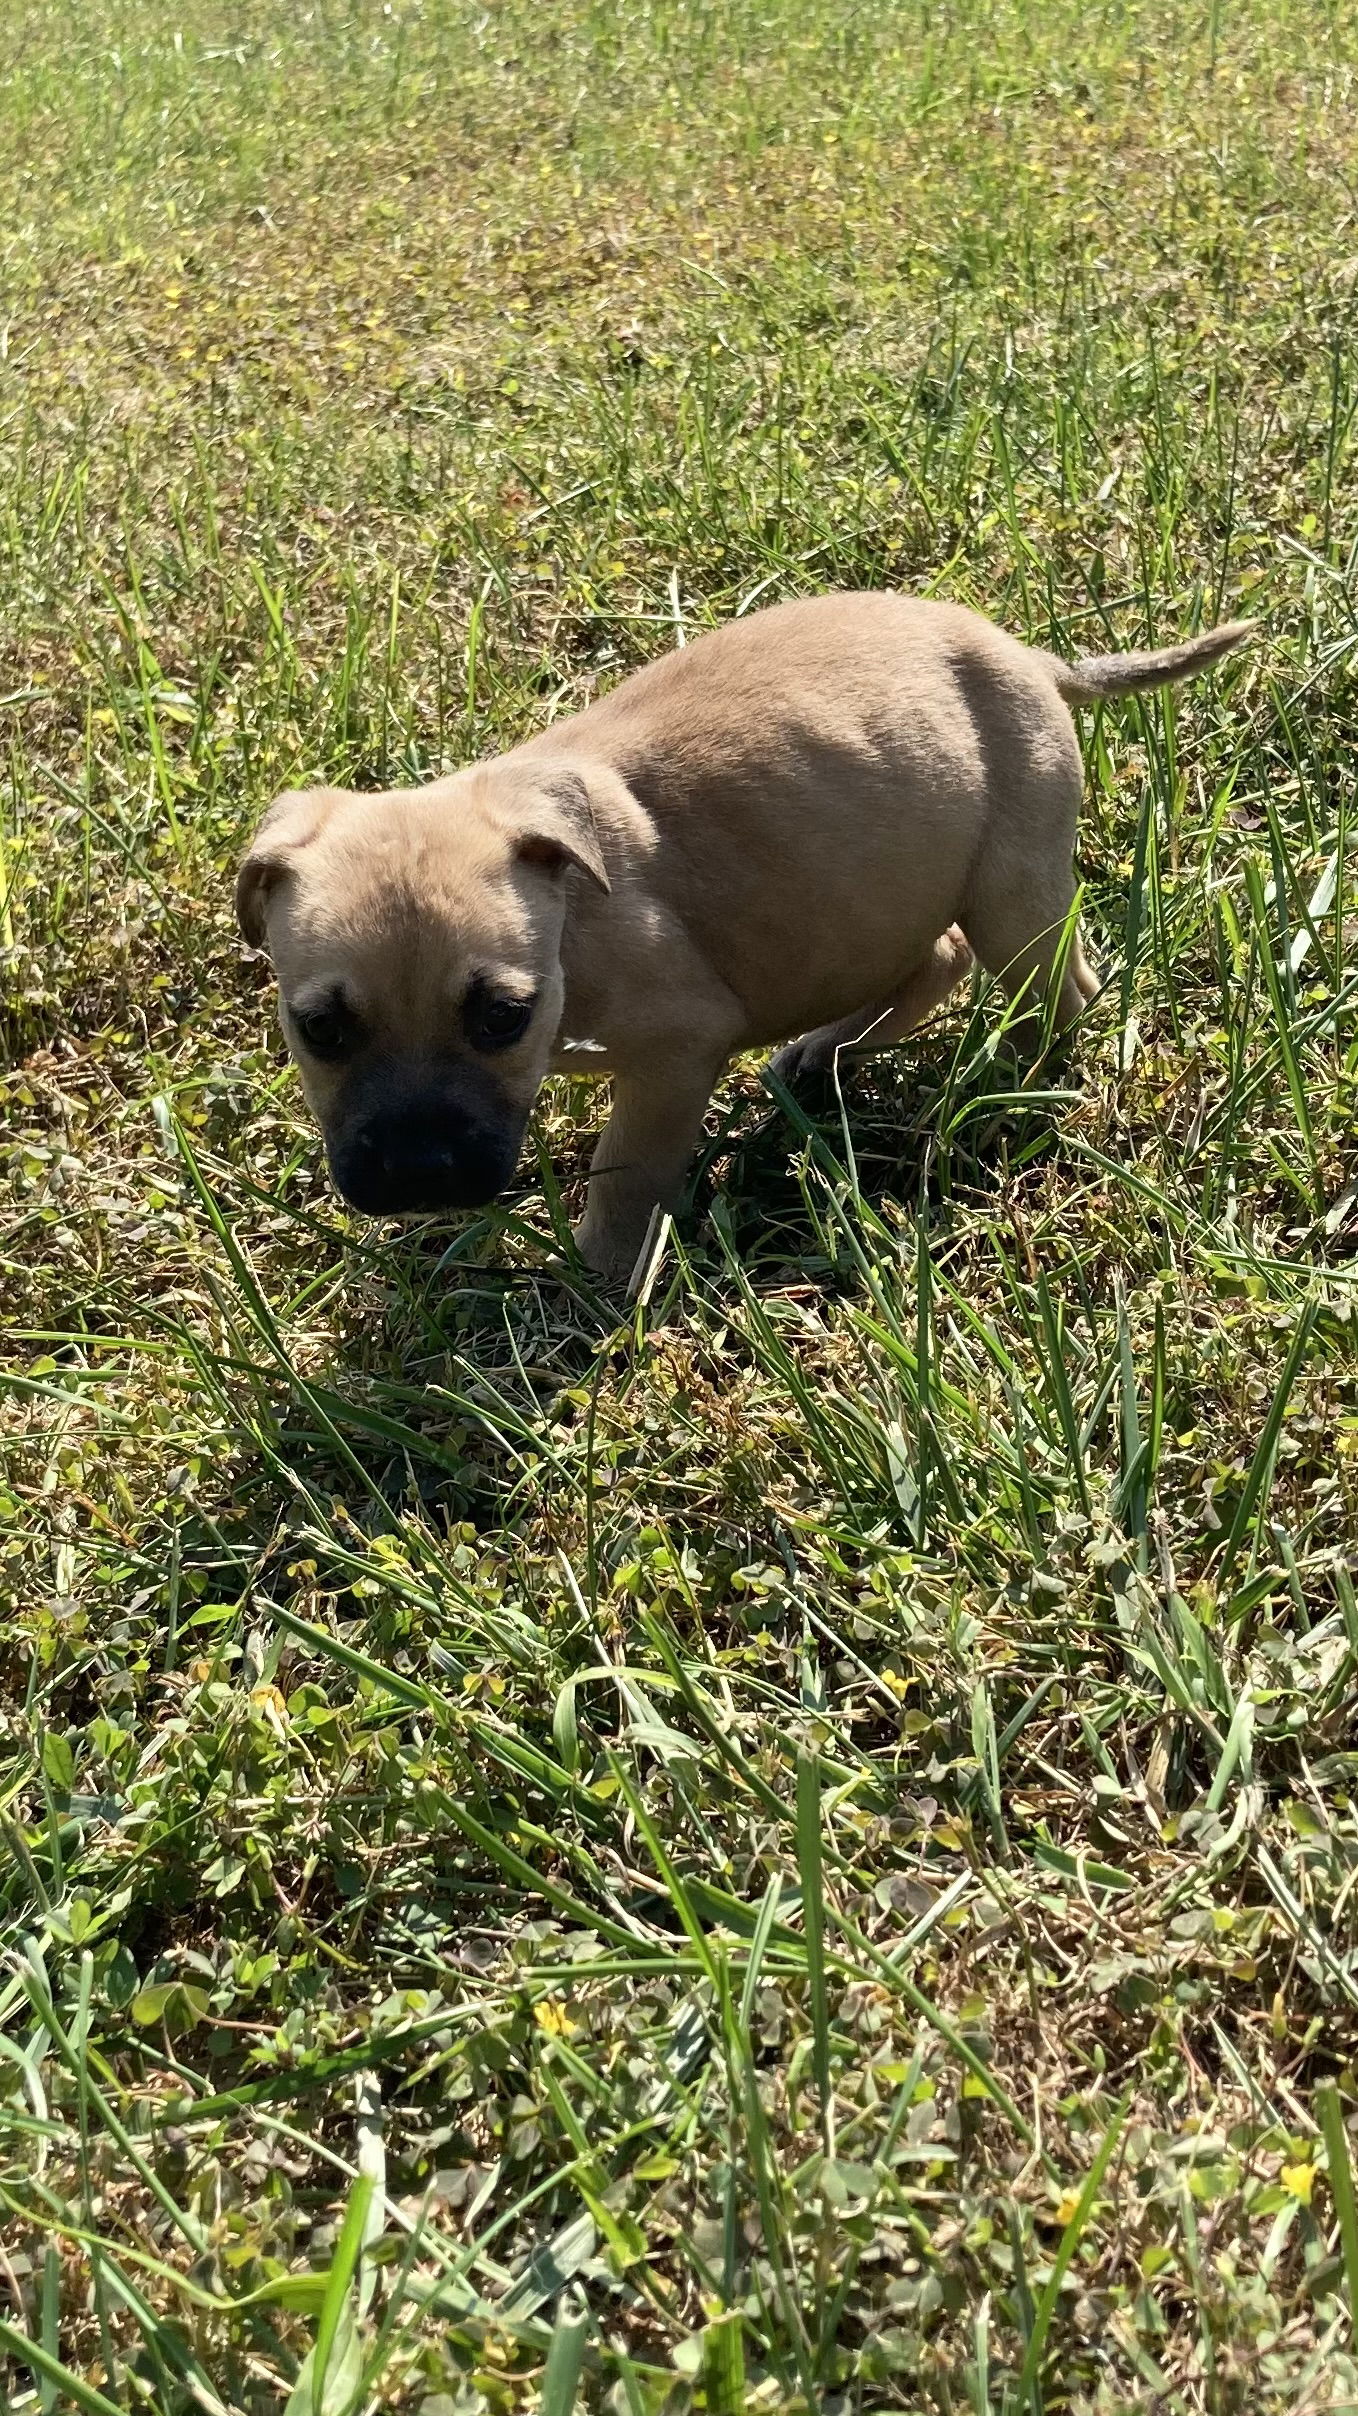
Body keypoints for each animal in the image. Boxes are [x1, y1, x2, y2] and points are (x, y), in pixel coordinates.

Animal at [235, 591, 1246, 1285]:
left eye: (500, 1017)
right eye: (319, 1030)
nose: (419, 1177)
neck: (575, 917)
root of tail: (1033, 659)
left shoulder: (676, 1053)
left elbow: (626, 1168)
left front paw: (596, 1271)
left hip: (1011, 894)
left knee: (1060, 992)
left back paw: (1013, 1086)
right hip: (882, 900)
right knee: (936, 960)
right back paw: (827, 1053)